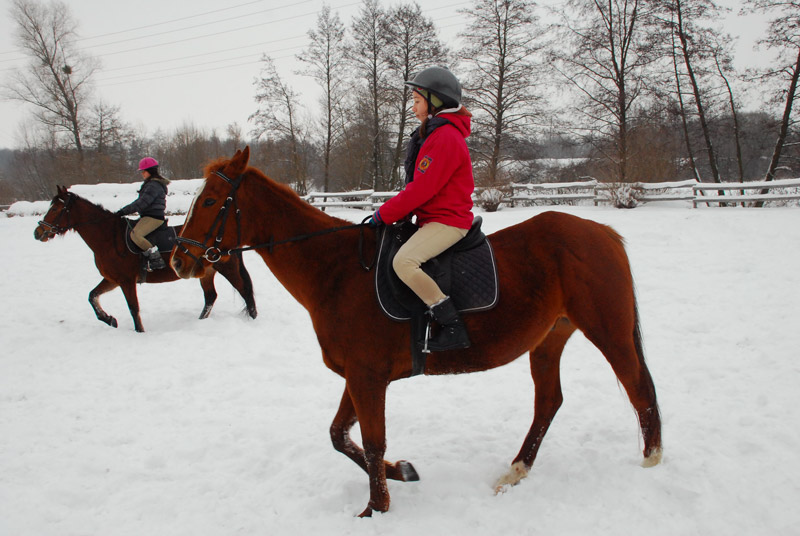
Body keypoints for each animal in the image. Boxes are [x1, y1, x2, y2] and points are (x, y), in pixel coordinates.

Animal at [32, 186, 258, 332]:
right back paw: (200, 322)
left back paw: (253, 320)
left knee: (244, 290)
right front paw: (109, 319)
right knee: (211, 296)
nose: (38, 232)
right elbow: (92, 296)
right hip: (206, 272)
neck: (109, 237)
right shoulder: (112, 280)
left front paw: (138, 332)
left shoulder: (126, 281)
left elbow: (133, 308)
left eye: (55, 209)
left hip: (226, 269)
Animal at [170, 149, 664, 516]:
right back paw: (515, 472)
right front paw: (401, 472)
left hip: (608, 331)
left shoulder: (368, 377)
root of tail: (599, 231)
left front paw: (376, 509)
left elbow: (371, 442)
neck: (336, 270)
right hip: (549, 338)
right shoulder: (357, 375)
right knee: (549, 402)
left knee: (638, 388)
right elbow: (340, 436)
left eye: (211, 201)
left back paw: (651, 463)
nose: (178, 260)